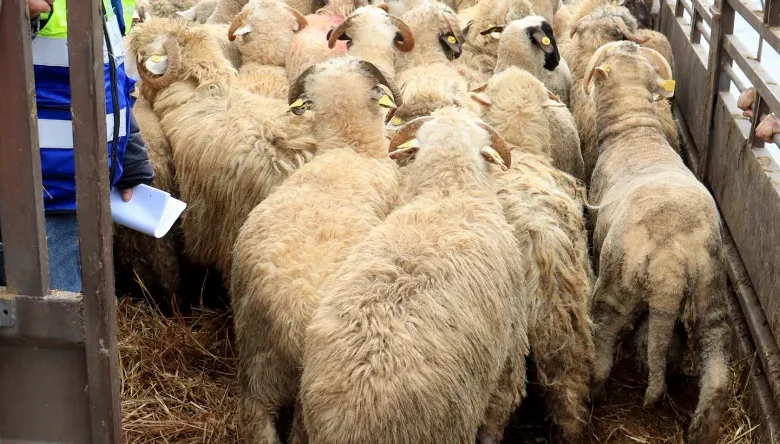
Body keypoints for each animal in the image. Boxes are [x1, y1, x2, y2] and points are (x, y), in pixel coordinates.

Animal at [584, 41, 731, 444]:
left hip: (616, 281)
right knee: (716, 360)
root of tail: (670, 259)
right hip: (711, 286)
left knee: (603, 336)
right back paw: (702, 428)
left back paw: (595, 392)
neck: (635, 133)